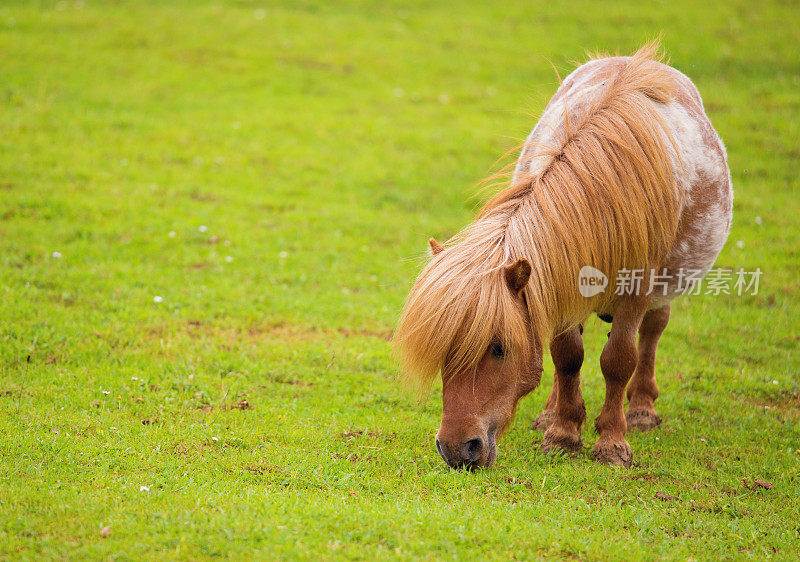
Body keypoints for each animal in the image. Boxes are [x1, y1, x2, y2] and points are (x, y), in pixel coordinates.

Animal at [394, 42, 732, 468]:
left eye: (499, 348)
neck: (603, 189)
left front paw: (612, 442)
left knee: (654, 330)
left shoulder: (637, 289)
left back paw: (640, 409)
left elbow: (618, 359)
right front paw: (563, 432)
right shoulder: (556, 279)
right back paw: (551, 412)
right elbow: (566, 355)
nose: (456, 449)